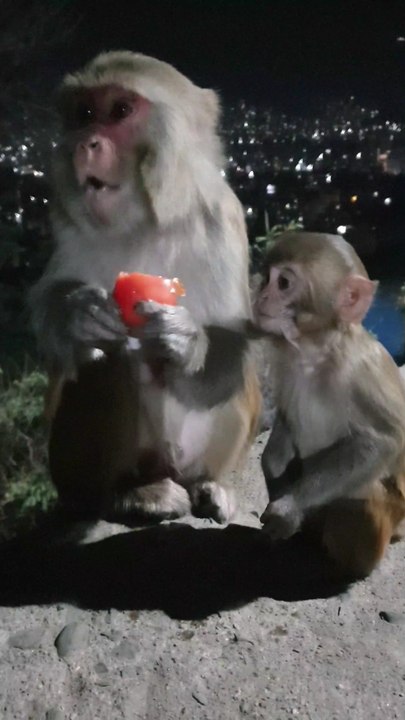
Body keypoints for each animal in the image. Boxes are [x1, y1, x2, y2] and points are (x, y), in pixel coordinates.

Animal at [30, 51, 261, 524]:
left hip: (189, 454)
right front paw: (77, 312)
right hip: (69, 468)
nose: (87, 143)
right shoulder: (65, 217)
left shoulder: (223, 214)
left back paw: (207, 485)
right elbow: (50, 309)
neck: (145, 220)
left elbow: (231, 336)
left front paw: (186, 342)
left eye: (120, 110)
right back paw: (127, 493)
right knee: (109, 360)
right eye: (84, 113)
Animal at [252, 231, 405, 578]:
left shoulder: (363, 371)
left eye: (283, 283)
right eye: (266, 278)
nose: (260, 296)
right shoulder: (286, 362)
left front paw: (289, 507)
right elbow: (285, 420)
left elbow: (385, 441)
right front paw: (273, 464)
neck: (316, 352)